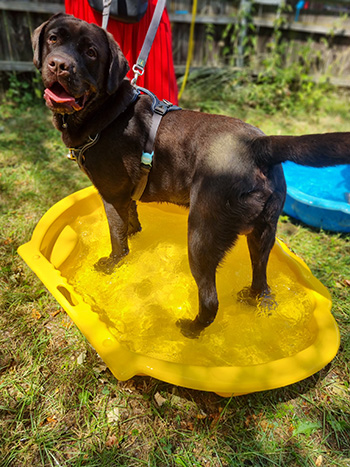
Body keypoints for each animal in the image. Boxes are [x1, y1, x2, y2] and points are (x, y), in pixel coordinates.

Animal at [32, 12, 350, 338]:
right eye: (53, 38)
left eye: (91, 52)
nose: (59, 64)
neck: (110, 112)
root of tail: (258, 144)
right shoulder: (126, 197)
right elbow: (132, 221)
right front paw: (135, 234)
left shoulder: (112, 196)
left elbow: (118, 241)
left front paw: (110, 265)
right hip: (263, 234)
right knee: (262, 282)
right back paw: (251, 300)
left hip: (202, 234)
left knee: (210, 300)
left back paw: (191, 330)